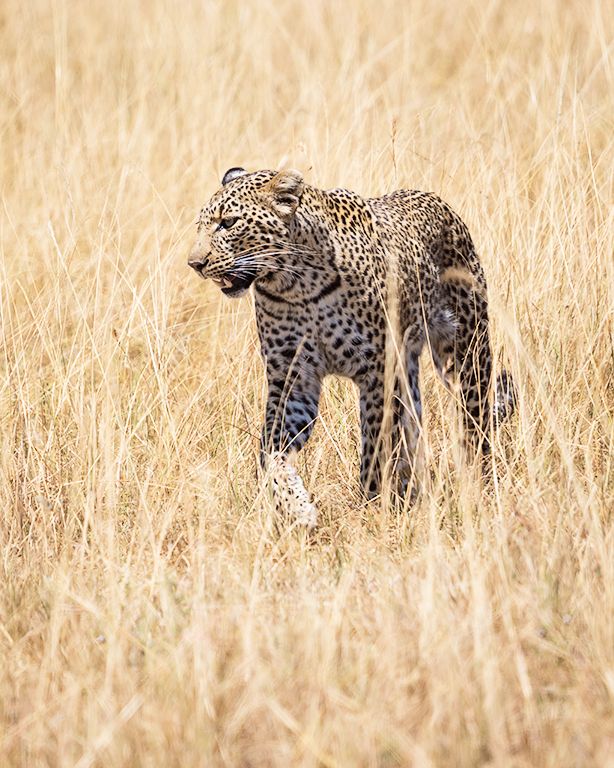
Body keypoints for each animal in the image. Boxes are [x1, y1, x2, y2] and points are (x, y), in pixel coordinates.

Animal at [188, 167, 515, 528]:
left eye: (228, 223)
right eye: (201, 225)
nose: (195, 264)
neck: (296, 286)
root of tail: (439, 202)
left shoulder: (379, 372)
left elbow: (376, 443)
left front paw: (372, 505)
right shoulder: (293, 379)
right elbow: (271, 451)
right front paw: (294, 506)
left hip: (466, 352)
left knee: (475, 421)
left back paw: (475, 482)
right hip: (409, 366)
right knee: (413, 427)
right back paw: (412, 489)